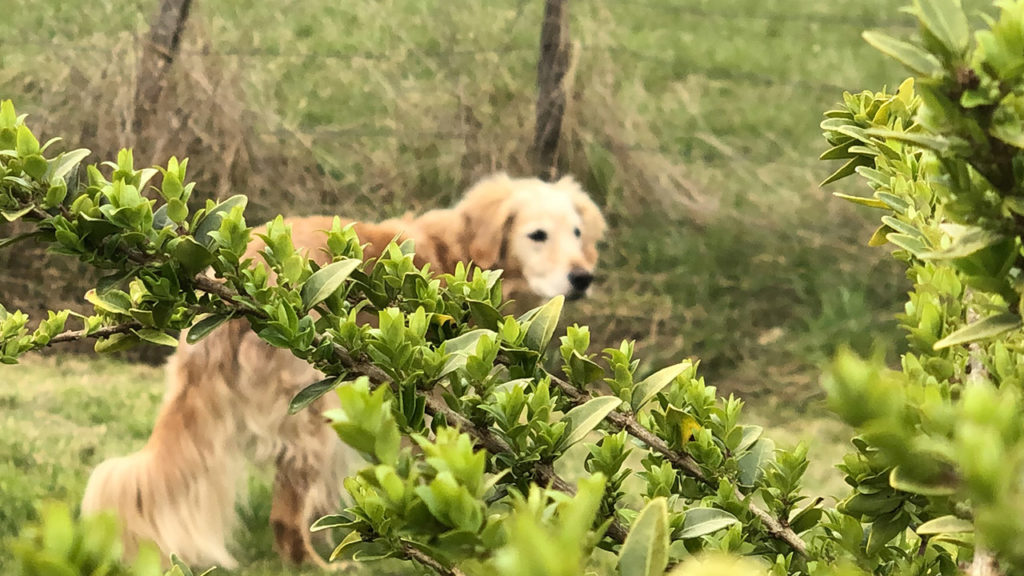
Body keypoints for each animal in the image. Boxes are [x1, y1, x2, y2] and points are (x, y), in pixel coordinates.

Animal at [81, 170, 606, 565]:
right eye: (537, 235)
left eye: (577, 233)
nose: (584, 277)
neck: (461, 259)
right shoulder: (434, 401)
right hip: (316, 410)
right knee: (287, 518)